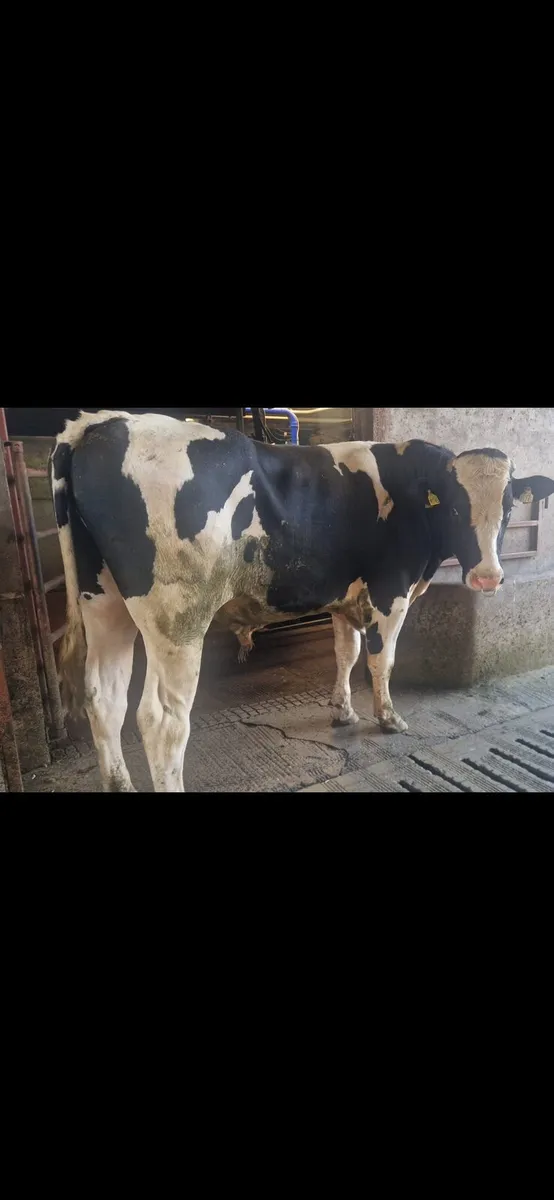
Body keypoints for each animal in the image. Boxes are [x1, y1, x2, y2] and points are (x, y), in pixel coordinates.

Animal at [50, 410, 554, 792]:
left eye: (510, 505)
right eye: (454, 507)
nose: (488, 576)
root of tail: (103, 423)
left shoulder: (345, 594)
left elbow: (346, 653)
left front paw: (343, 711)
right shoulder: (391, 591)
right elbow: (381, 659)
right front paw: (388, 717)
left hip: (104, 601)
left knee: (104, 698)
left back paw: (118, 783)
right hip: (176, 617)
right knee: (162, 719)